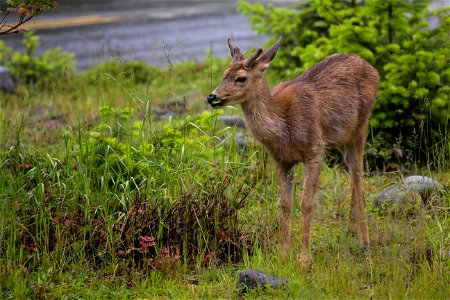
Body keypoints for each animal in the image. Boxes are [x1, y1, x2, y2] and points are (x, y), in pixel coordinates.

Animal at [207, 36, 380, 266]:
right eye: (224, 74)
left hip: (361, 125)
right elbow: (285, 204)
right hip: (341, 138)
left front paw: (304, 259)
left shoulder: (315, 150)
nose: (212, 97)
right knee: (353, 174)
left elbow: (306, 203)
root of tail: (373, 68)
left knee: (359, 176)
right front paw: (283, 254)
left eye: (241, 78)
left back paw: (365, 243)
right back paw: (351, 230)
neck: (284, 127)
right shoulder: (280, 160)